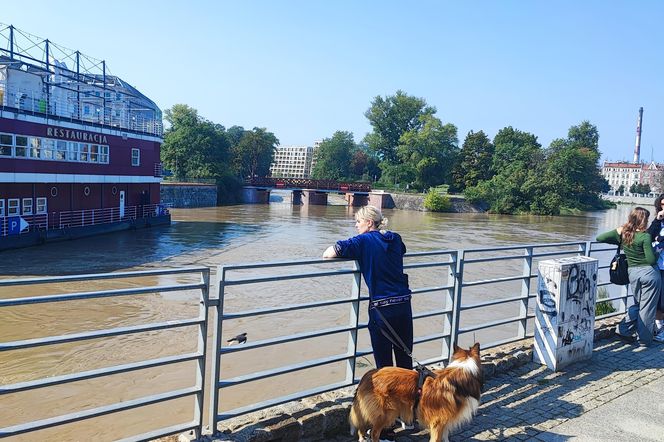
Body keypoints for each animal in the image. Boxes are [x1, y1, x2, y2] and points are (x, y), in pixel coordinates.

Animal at [348, 346, 482, 442]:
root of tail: (366, 376)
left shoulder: (444, 421)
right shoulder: (438, 422)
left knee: (362, 426)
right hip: (386, 413)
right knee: (374, 433)